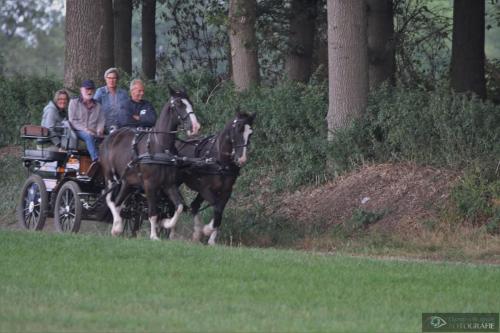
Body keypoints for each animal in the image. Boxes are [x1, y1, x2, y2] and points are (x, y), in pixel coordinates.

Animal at [99, 87, 201, 240]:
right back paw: (117, 225)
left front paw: (165, 223)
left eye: (191, 103)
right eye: (178, 104)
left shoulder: (169, 184)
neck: (159, 146)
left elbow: (179, 207)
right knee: (109, 200)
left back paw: (117, 227)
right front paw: (154, 236)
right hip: (110, 177)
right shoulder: (150, 185)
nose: (195, 127)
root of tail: (110, 137)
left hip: (127, 182)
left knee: (118, 203)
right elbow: (153, 213)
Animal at [175, 111, 254, 244]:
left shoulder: (226, 191)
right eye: (237, 130)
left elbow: (219, 212)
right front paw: (207, 230)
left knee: (194, 206)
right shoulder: (206, 190)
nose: (241, 159)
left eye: (250, 133)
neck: (220, 162)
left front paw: (211, 239)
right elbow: (217, 209)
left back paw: (196, 233)